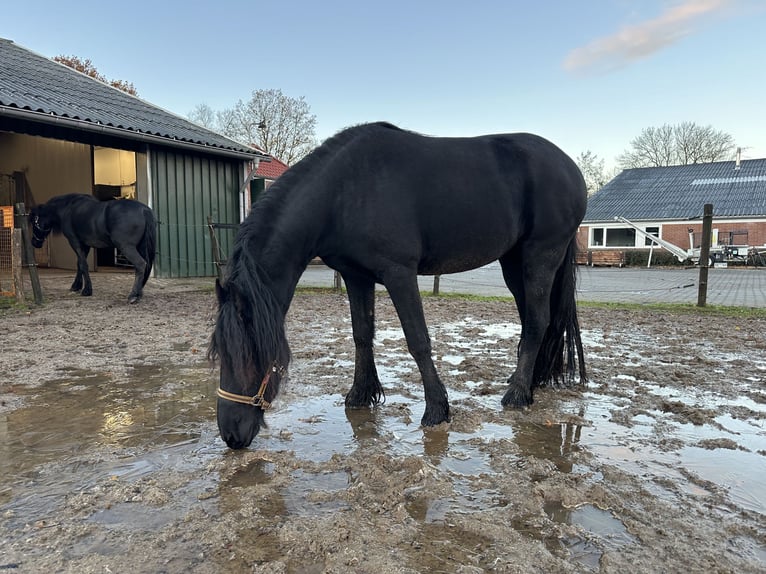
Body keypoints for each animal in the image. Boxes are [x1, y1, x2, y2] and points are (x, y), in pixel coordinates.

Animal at [210, 124, 588, 452]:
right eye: (219, 353)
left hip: (540, 256)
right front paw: (361, 395)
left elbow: (417, 340)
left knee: (537, 322)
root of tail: (569, 167)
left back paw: (517, 396)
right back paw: (528, 382)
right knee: (532, 321)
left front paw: (437, 410)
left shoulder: (398, 273)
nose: (231, 433)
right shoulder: (356, 276)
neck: (343, 191)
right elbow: (361, 334)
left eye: (248, 354)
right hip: (514, 262)